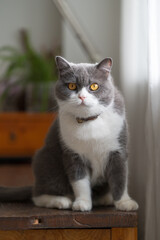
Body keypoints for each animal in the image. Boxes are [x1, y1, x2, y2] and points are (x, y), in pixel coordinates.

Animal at [0, 56, 138, 212]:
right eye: (71, 86)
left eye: (94, 86)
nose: (82, 97)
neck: (88, 122)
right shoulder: (72, 153)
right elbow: (79, 180)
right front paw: (82, 203)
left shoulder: (118, 150)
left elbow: (120, 177)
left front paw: (125, 203)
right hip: (47, 162)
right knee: (38, 195)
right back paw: (60, 201)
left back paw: (105, 199)